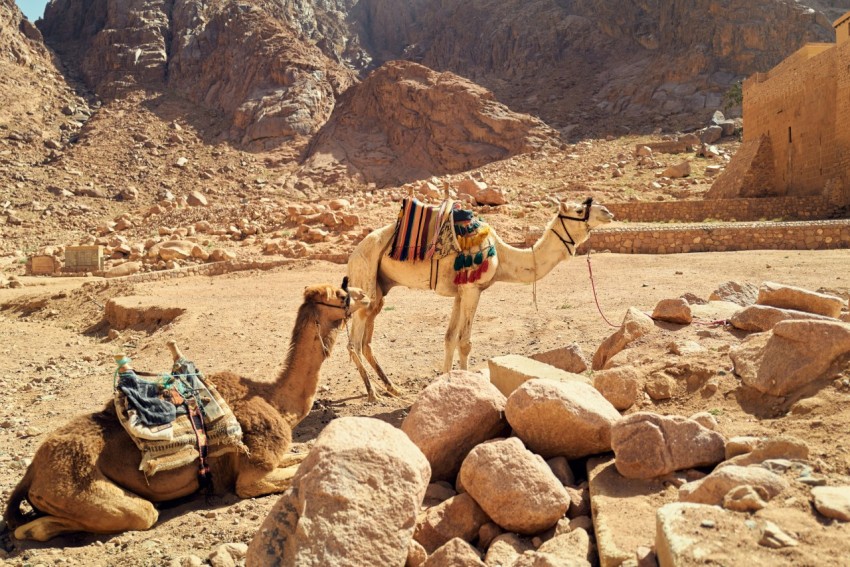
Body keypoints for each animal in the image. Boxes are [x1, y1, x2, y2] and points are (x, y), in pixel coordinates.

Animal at [4, 282, 368, 544]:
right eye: (341, 293)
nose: (364, 295)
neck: (276, 401)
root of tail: (32, 473)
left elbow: (303, 456)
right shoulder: (253, 471)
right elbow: (281, 479)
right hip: (86, 493)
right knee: (134, 514)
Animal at [344, 197, 608, 402]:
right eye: (578, 210)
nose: (607, 212)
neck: (502, 256)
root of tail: (353, 254)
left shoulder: (460, 292)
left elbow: (449, 338)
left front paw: (444, 382)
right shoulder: (472, 289)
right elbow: (465, 342)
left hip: (379, 292)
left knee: (366, 342)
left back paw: (393, 388)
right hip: (365, 278)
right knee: (353, 342)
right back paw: (372, 394)